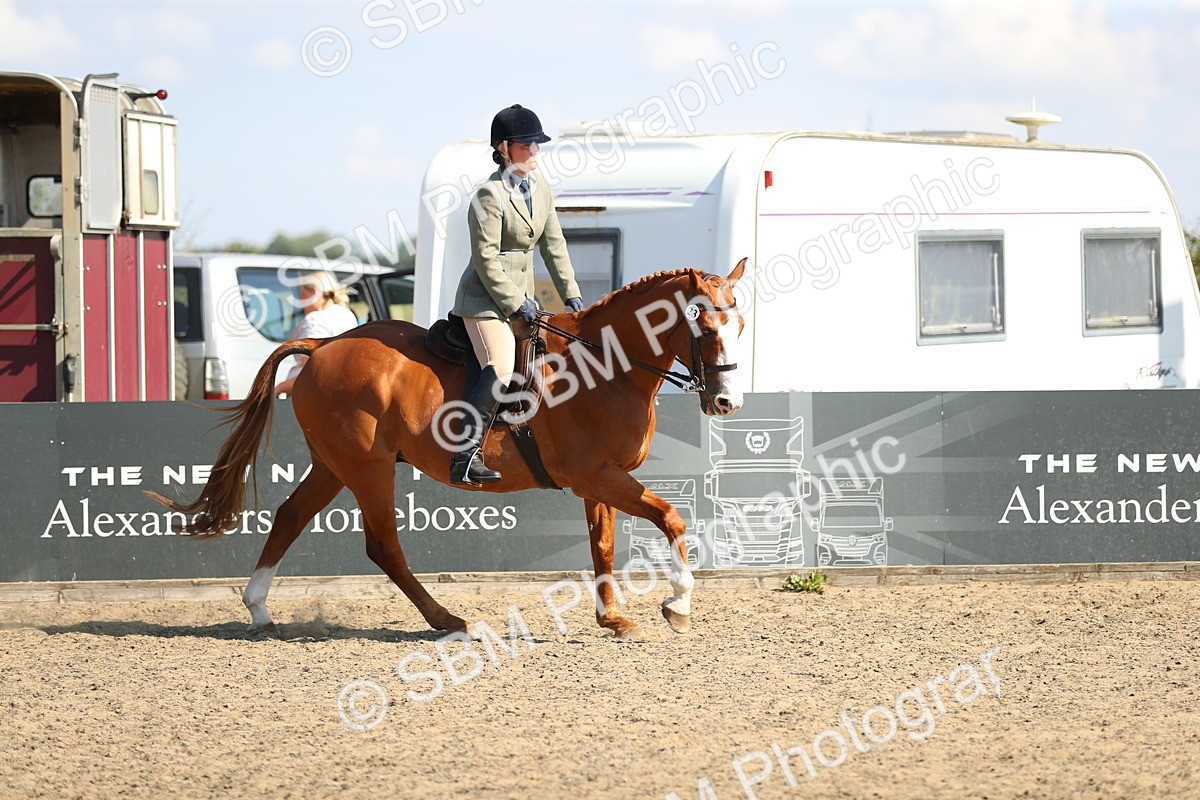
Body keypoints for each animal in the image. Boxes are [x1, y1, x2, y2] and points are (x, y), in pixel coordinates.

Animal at [150, 259, 747, 638]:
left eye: (739, 321)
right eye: (703, 325)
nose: (726, 401)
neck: (605, 366)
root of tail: (322, 346)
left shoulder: (601, 478)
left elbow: (602, 546)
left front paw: (612, 619)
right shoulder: (597, 476)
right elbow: (672, 517)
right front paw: (678, 603)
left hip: (335, 465)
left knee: (291, 516)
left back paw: (258, 610)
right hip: (368, 469)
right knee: (382, 546)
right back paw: (446, 621)